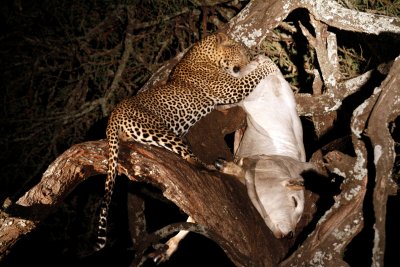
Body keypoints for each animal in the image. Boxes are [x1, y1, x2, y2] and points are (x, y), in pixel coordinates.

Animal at [95, 32, 280, 252]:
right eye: (242, 52)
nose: (250, 58)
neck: (206, 56)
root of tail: (113, 115)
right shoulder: (231, 88)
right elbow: (254, 76)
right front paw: (270, 64)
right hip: (158, 130)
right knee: (189, 157)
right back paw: (210, 166)